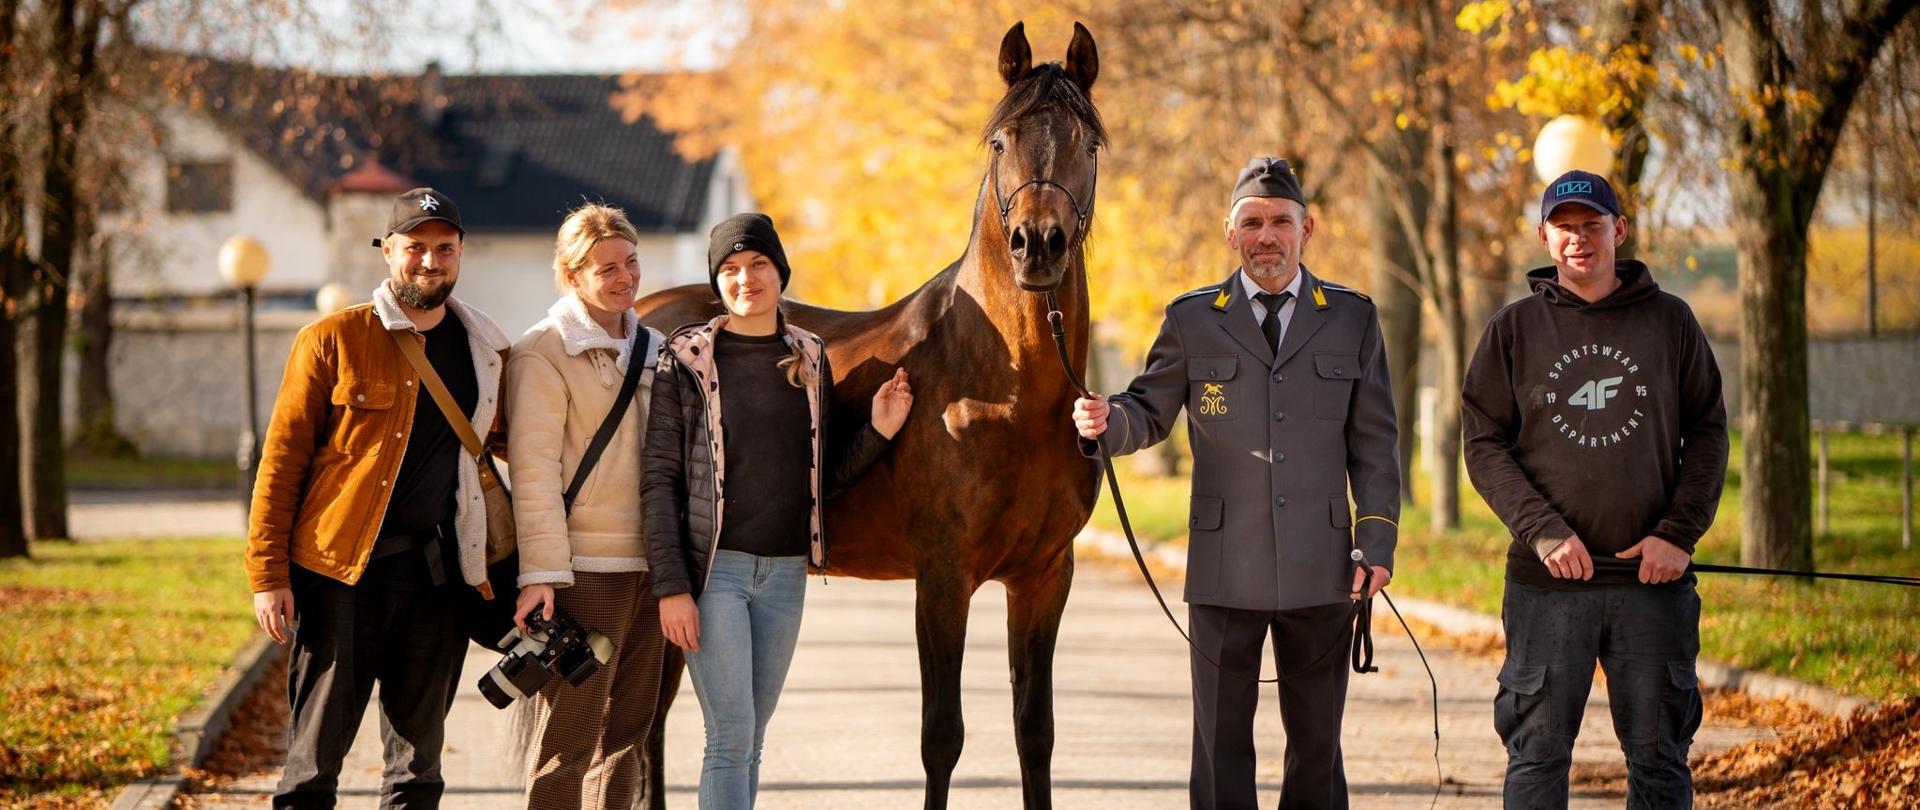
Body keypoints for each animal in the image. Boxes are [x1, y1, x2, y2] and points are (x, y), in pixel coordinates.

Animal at [631, 21, 1105, 810]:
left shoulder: (1045, 577)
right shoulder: (942, 576)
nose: (1038, 245)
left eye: (1089, 142)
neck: (1005, 389)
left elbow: (1035, 733)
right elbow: (942, 737)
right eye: (1000, 141)